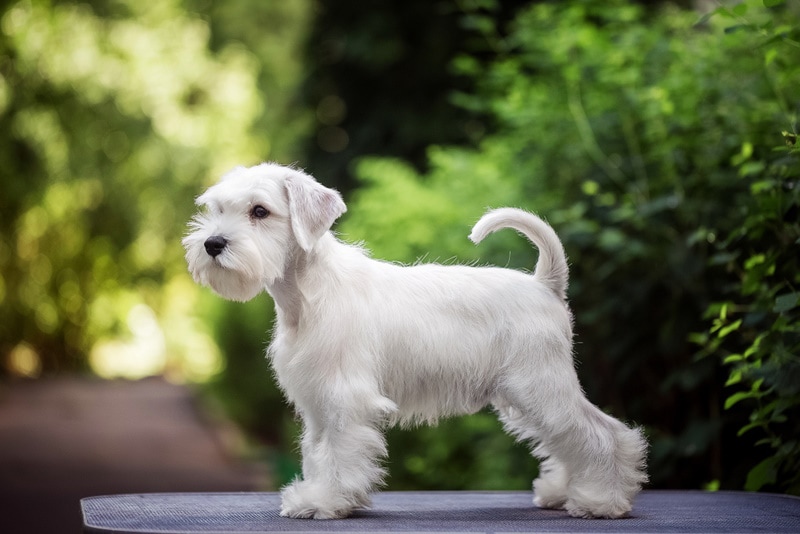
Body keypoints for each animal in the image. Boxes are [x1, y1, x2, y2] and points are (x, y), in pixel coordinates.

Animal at [184, 164, 648, 524]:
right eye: (217, 209)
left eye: (260, 211)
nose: (213, 244)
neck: (307, 294)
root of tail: (544, 284)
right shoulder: (317, 402)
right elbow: (317, 452)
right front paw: (314, 494)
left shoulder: (345, 398)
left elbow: (338, 452)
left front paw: (326, 502)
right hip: (530, 394)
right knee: (570, 439)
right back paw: (563, 492)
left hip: (540, 386)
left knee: (603, 433)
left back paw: (603, 501)